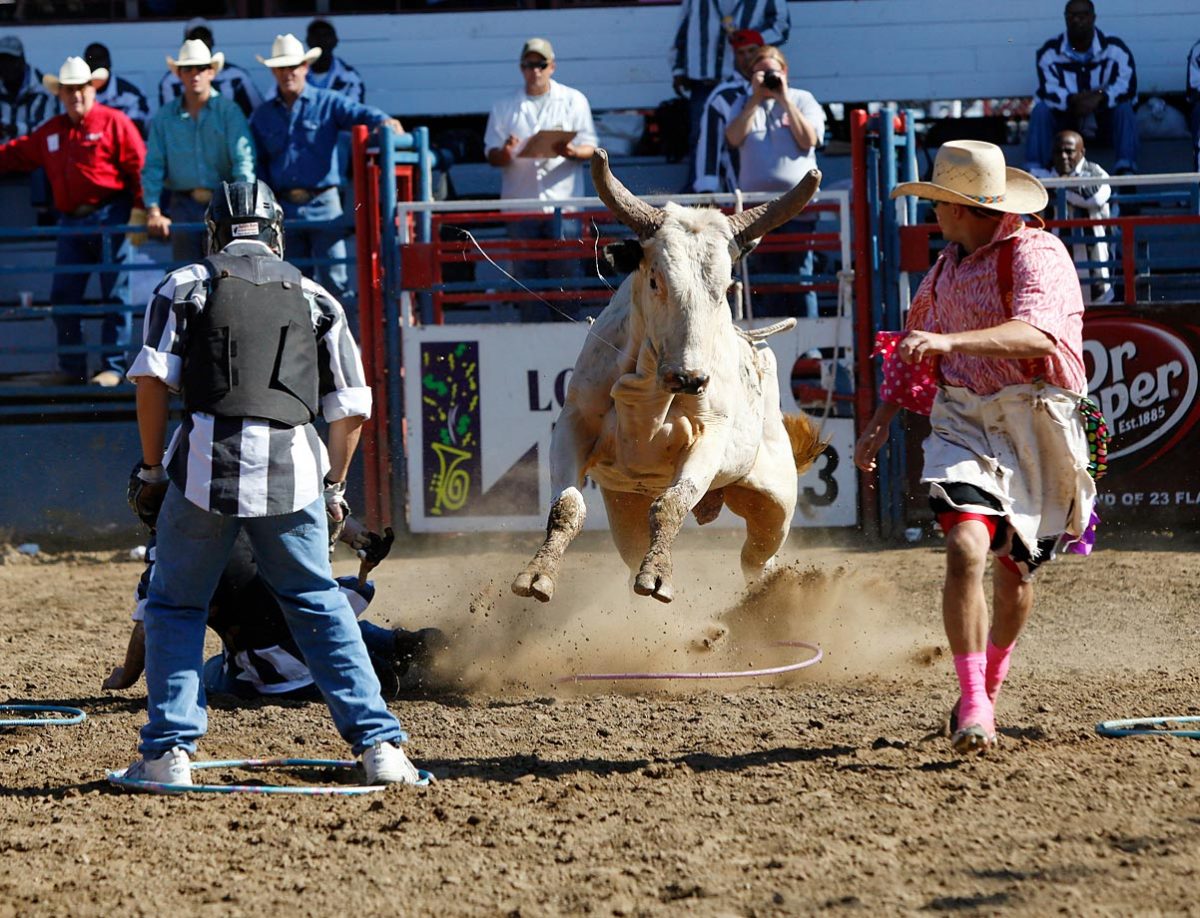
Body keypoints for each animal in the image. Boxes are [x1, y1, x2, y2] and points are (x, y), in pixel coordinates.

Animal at [511, 150, 830, 604]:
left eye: (725, 287)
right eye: (655, 279)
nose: (690, 378)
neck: (649, 387)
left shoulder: (709, 437)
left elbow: (672, 504)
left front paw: (658, 576)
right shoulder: (574, 423)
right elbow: (568, 506)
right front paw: (538, 574)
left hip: (775, 500)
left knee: (757, 559)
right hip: (624, 505)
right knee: (634, 549)